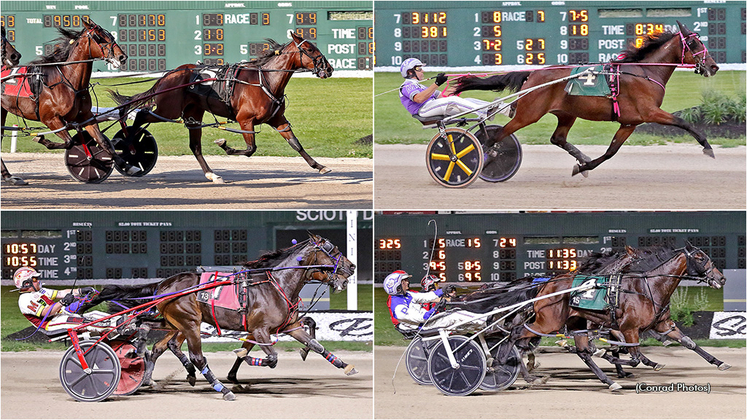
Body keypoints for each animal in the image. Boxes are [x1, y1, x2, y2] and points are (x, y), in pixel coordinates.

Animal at [1, 18, 134, 184]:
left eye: (110, 35)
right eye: (99, 37)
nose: (121, 57)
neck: (68, 82)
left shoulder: (86, 117)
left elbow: (102, 141)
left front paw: (126, 164)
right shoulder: (51, 119)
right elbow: (69, 142)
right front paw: (42, 139)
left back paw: (8, 176)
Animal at [87, 235, 356, 402]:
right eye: (332, 251)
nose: (351, 267)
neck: (276, 285)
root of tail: (164, 283)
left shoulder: (288, 325)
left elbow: (316, 345)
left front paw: (345, 365)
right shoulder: (261, 330)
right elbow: (271, 358)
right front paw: (243, 361)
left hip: (172, 321)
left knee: (151, 333)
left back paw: (142, 360)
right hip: (189, 323)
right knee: (194, 356)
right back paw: (221, 388)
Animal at [110, 32, 334, 183]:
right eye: (310, 49)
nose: (329, 68)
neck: (266, 81)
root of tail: (170, 74)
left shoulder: (277, 119)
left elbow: (295, 144)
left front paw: (319, 166)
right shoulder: (245, 120)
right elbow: (250, 149)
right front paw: (224, 145)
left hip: (193, 113)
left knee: (195, 146)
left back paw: (212, 174)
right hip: (168, 109)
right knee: (141, 115)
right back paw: (129, 147)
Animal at [452, 21, 720, 176]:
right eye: (694, 43)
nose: (714, 66)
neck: (644, 72)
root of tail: (533, 74)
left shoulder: (629, 122)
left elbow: (611, 151)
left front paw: (583, 166)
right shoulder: (649, 112)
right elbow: (683, 122)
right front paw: (707, 147)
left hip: (566, 113)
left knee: (557, 138)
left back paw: (581, 157)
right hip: (529, 113)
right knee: (494, 137)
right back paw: (481, 161)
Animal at [512, 244, 728, 392]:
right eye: (700, 257)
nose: (721, 278)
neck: (648, 288)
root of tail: (545, 285)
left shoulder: (662, 324)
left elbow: (689, 343)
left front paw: (719, 362)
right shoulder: (627, 328)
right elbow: (632, 357)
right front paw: (608, 356)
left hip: (575, 322)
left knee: (581, 352)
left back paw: (608, 381)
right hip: (548, 321)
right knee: (517, 336)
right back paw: (528, 375)